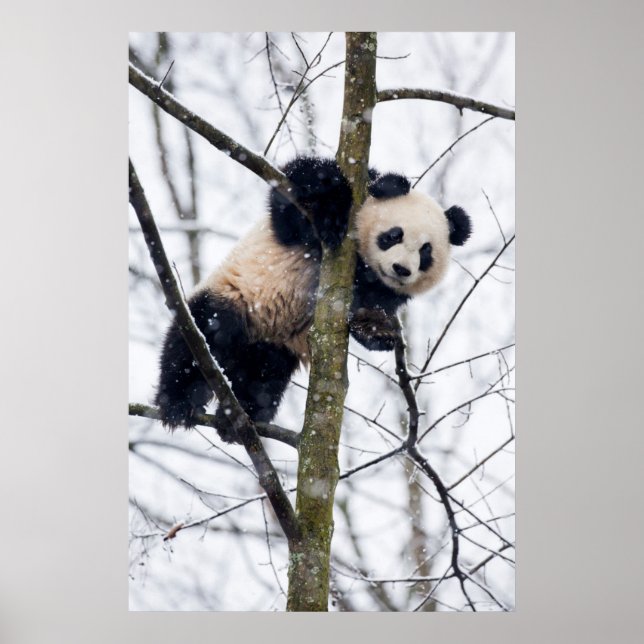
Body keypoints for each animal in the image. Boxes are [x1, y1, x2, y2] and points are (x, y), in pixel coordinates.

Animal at [155, 156, 471, 443]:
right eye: (394, 235)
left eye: (426, 251)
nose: (401, 269)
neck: (363, 264)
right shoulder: (301, 222)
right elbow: (297, 190)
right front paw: (333, 213)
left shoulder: (382, 291)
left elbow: (369, 308)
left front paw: (378, 331)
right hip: (236, 297)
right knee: (198, 337)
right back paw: (177, 404)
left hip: (274, 346)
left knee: (264, 378)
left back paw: (237, 419)